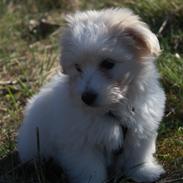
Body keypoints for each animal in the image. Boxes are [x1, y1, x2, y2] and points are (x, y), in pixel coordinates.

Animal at [17, 7, 166, 182]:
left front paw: (144, 172)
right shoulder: (81, 144)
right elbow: (90, 168)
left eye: (108, 64)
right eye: (77, 67)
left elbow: (137, 156)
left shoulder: (140, 130)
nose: (86, 97)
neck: (112, 110)